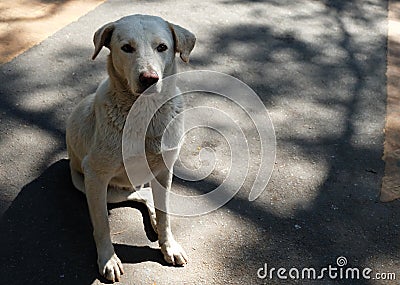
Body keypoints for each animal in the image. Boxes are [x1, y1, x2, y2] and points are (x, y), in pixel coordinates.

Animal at [65, 14, 195, 280]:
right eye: (126, 48)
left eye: (162, 47)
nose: (149, 79)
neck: (142, 114)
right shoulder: (96, 177)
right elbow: (102, 225)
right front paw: (109, 259)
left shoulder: (165, 171)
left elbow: (166, 216)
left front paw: (169, 245)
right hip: (92, 185)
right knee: (138, 196)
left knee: (149, 197)